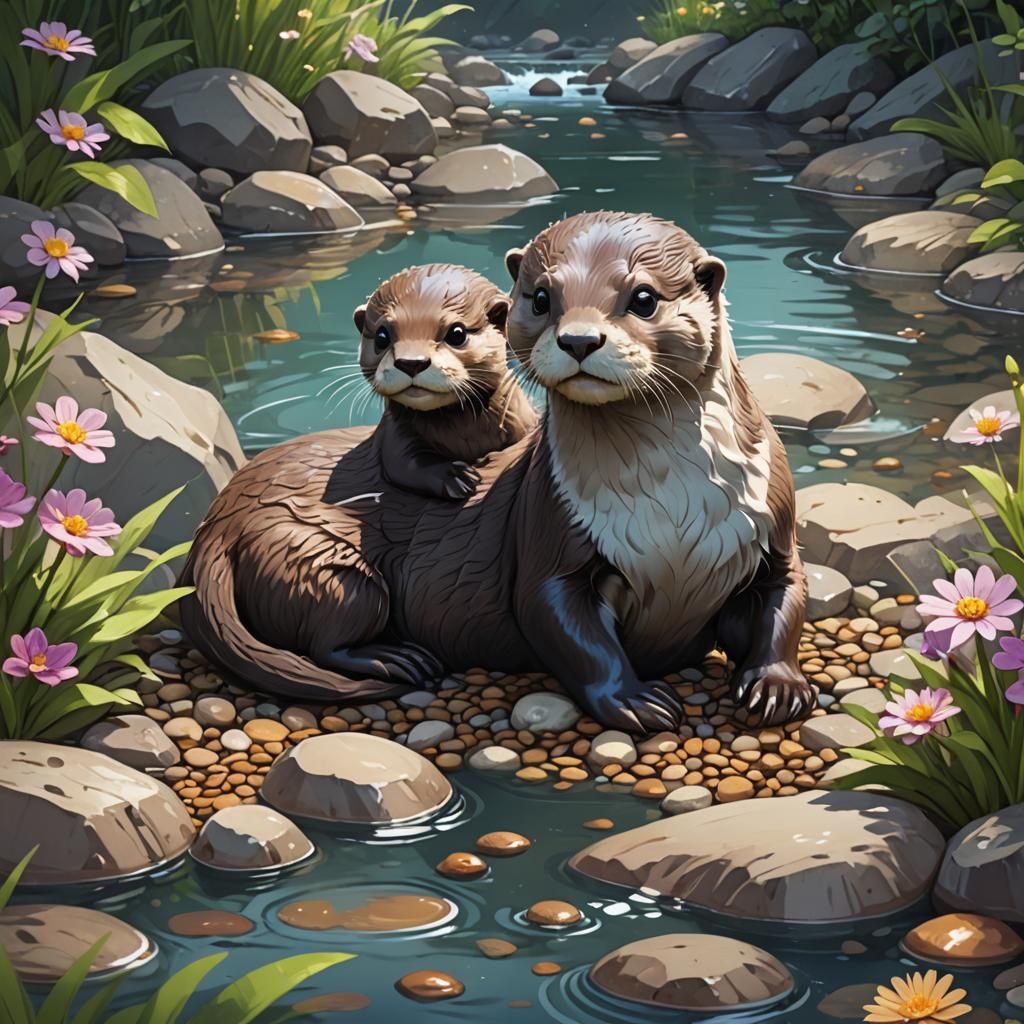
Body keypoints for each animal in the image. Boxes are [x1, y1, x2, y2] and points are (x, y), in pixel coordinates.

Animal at [179, 263, 537, 699]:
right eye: (382, 335)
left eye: (456, 333)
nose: (411, 362)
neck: (466, 435)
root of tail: (211, 532)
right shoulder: (393, 438)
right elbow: (404, 467)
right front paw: (455, 478)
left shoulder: (520, 420)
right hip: (323, 567)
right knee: (326, 644)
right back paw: (394, 658)